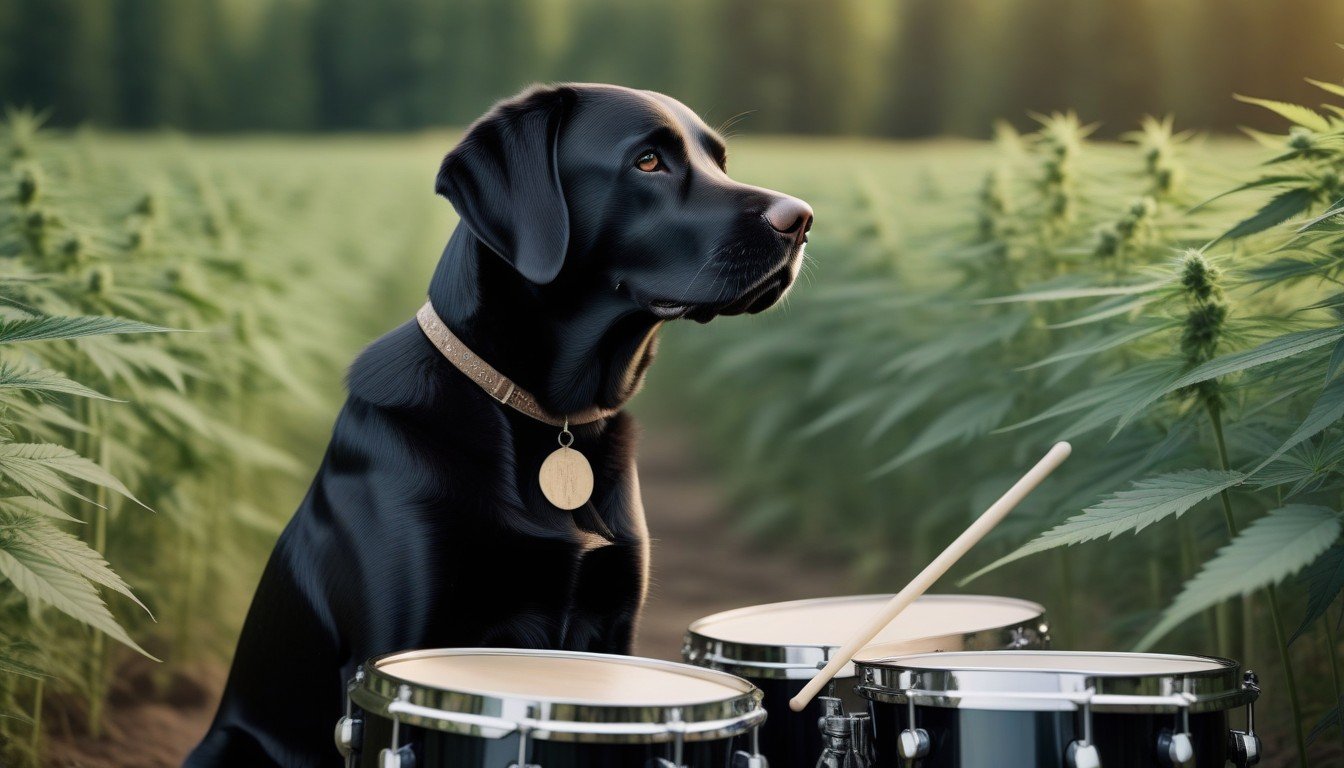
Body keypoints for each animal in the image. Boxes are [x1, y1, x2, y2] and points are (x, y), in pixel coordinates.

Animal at [186, 84, 806, 768]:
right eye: (648, 161)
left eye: (719, 160)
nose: (802, 219)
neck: (553, 418)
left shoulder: (613, 629)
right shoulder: (394, 644)